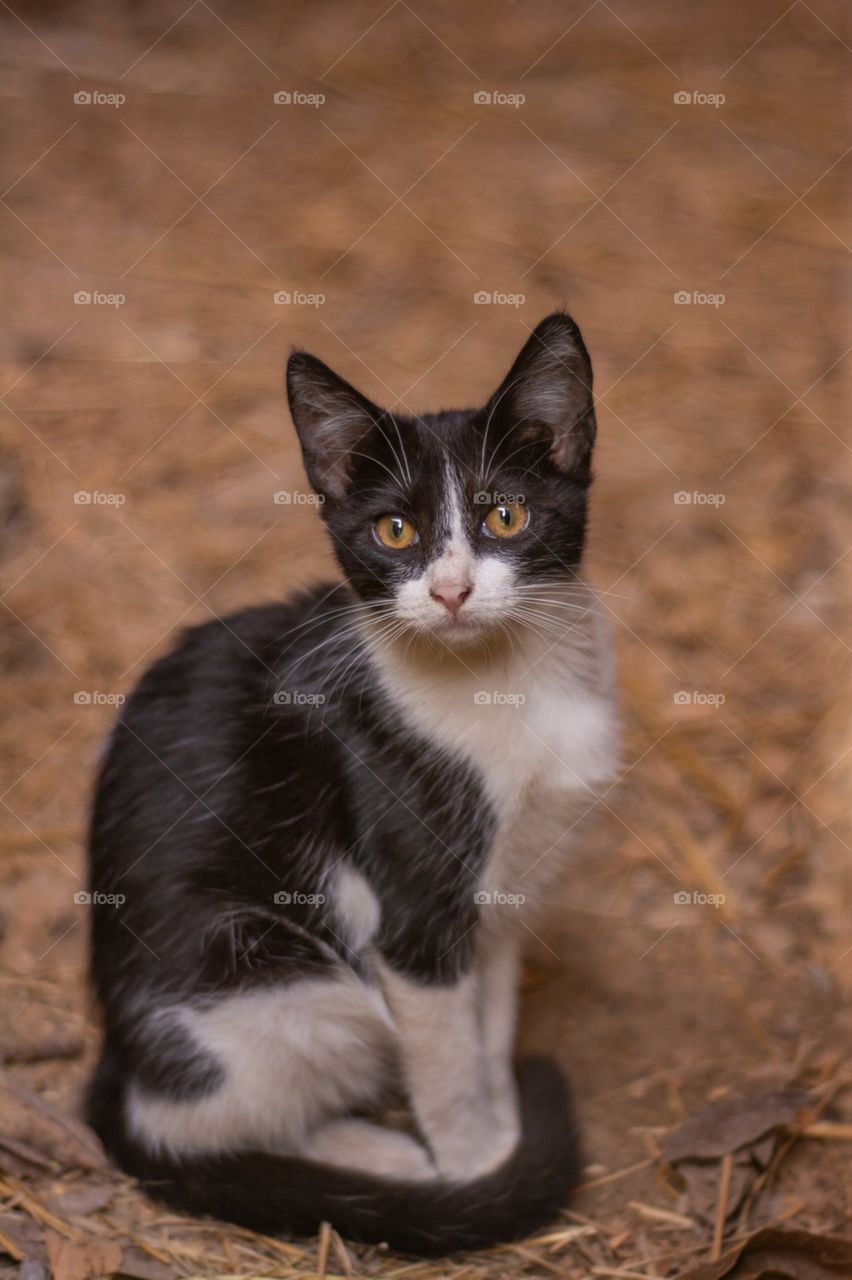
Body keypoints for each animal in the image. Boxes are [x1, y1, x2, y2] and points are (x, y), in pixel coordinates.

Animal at [86, 314, 616, 1254]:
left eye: (505, 515)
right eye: (394, 531)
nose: (450, 591)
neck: (505, 682)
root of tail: (117, 1052)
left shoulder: (505, 895)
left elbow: (487, 1022)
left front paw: (506, 1121)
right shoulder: (413, 915)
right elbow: (445, 1055)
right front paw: (480, 1168)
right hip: (277, 981)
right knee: (190, 1117)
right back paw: (380, 1157)